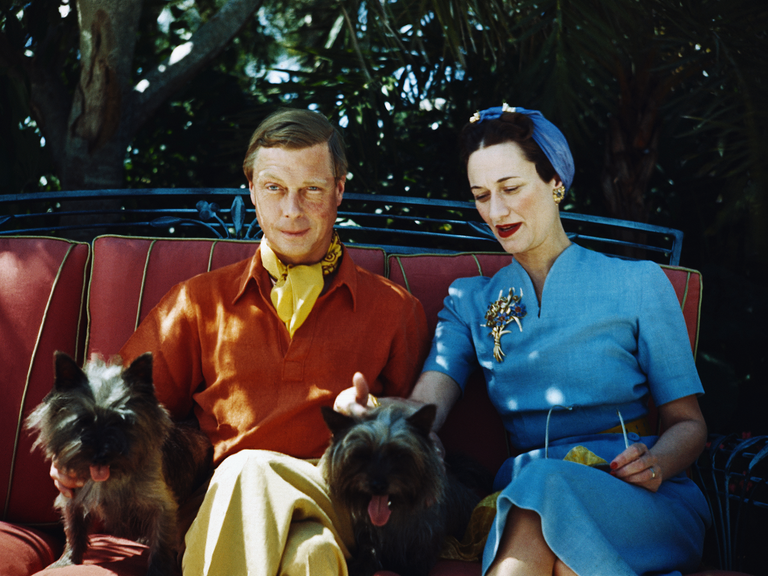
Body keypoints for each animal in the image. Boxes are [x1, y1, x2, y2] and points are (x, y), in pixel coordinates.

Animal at [25, 352, 212, 576]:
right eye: (82, 422)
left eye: (120, 422)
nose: (100, 455)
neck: (112, 477)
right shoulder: (72, 498)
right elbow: (74, 530)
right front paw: (68, 561)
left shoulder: (163, 507)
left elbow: (160, 542)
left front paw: (159, 570)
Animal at [320, 400, 480, 576]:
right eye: (362, 454)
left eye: (398, 454)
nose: (378, 485)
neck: (392, 516)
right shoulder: (368, 536)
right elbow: (368, 551)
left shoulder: (423, 546)